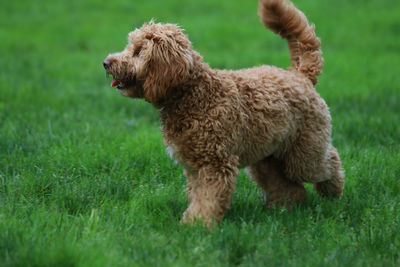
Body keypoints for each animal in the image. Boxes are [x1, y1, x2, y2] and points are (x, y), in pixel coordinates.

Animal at [102, 0, 344, 228]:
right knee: (288, 186)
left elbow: (208, 198)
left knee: (329, 161)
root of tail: (300, 74)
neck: (195, 95)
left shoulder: (215, 162)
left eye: (138, 52)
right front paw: (194, 222)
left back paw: (333, 194)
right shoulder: (194, 166)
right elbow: (198, 195)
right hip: (267, 155)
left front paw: (197, 225)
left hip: (303, 152)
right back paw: (282, 209)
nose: (106, 63)